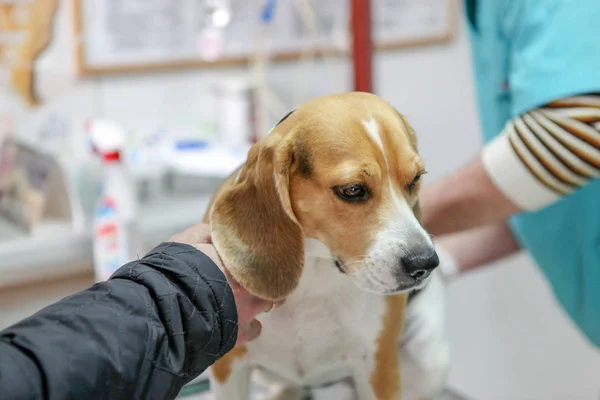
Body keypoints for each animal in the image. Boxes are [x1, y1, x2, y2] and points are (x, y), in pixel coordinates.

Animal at [204, 92, 448, 398]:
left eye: (415, 179)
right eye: (352, 190)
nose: (425, 263)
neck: (314, 273)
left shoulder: (378, 368)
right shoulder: (229, 367)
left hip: (429, 364)